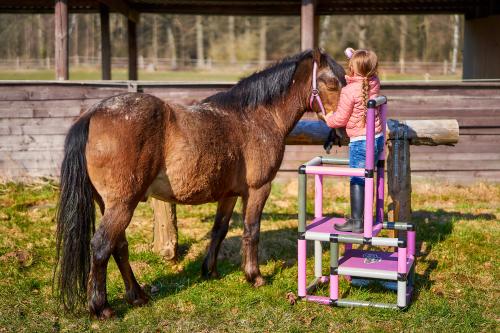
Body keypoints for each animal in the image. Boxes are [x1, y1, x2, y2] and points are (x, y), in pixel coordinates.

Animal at [52, 48, 346, 318]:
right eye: (332, 83)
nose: (342, 131)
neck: (256, 117)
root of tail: (91, 116)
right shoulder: (258, 189)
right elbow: (251, 231)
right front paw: (254, 276)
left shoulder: (229, 194)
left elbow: (219, 230)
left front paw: (210, 271)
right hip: (122, 205)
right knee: (102, 247)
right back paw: (101, 307)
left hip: (109, 204)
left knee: (119, 247)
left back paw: (137, 296)